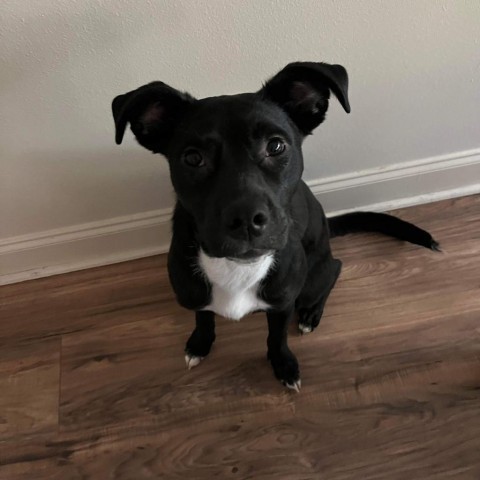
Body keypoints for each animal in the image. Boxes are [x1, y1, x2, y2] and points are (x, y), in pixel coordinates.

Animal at [111, 61, 438, 390]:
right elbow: (203, 317)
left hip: (311, 279)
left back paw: (310, 314)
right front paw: (200, 344)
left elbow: (276, 338)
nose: (245, 219)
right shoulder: (194, 295)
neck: (235, 268)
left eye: (276, 146)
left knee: (336, 268)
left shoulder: (282, 303)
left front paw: (283, 365)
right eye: (192, 158)